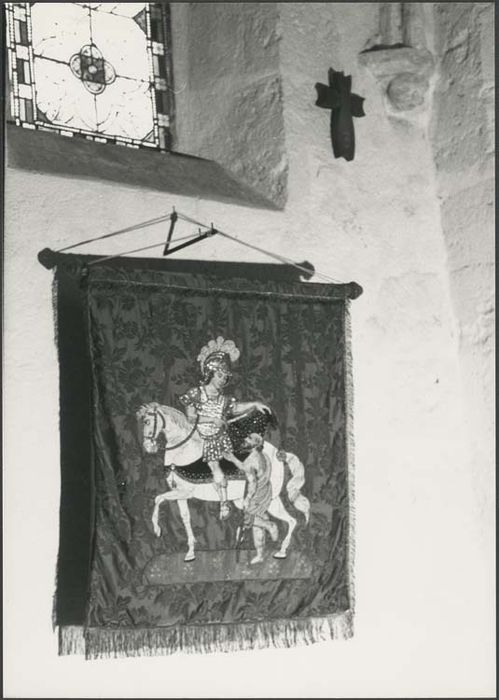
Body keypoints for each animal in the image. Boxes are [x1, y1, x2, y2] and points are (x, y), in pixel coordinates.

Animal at [137, 402, 308, 560]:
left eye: (147, 421)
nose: (148, 447)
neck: (184, 451)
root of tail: (279, 455)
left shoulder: (185, 491)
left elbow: (158, 499)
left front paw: (157, 530)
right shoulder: (180, 494)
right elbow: (185, 518)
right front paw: (190, 552)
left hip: (269, 498)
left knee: (287, 520)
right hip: (253, 500)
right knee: (286, 520)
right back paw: (272, 548)